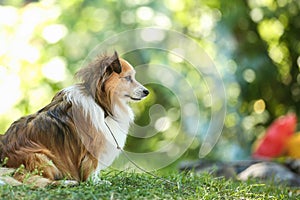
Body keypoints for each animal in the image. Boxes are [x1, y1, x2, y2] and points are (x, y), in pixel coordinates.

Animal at [0, 50, 149, 185]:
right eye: (128, 78)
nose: (146, 92)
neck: (101, 103)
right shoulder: (92, 149)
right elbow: (92, 167)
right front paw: (96, 182)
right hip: (41, 156)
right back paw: (67, 182)